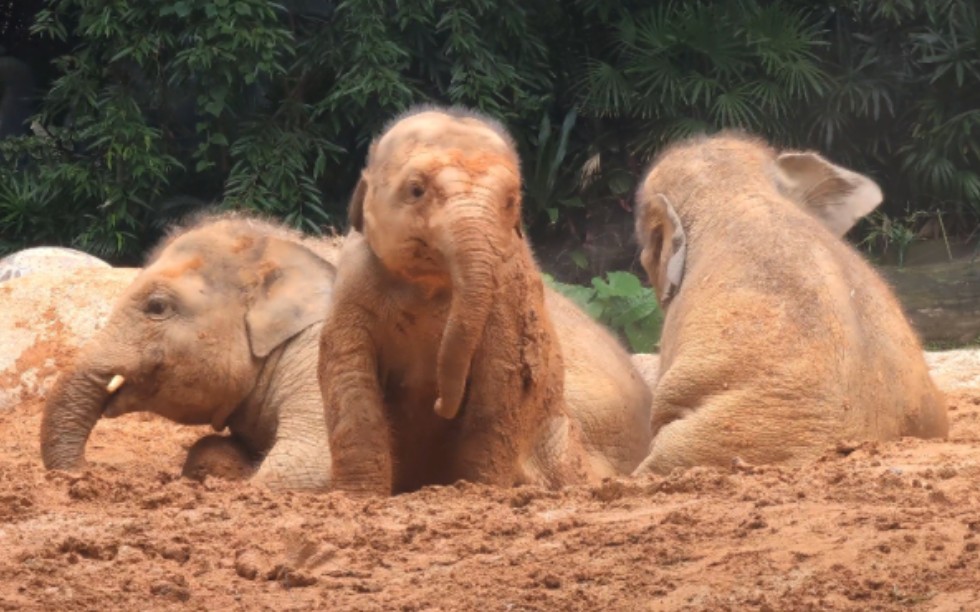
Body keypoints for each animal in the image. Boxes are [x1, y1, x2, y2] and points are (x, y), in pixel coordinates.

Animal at [316, 106, 652, 498]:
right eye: (416, 190)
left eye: (510, 202)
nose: (440, 403)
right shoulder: (353, 287)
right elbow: (348, 374)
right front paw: (357, 496)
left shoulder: (504, 295)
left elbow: (501, 378)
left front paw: (476, 489)